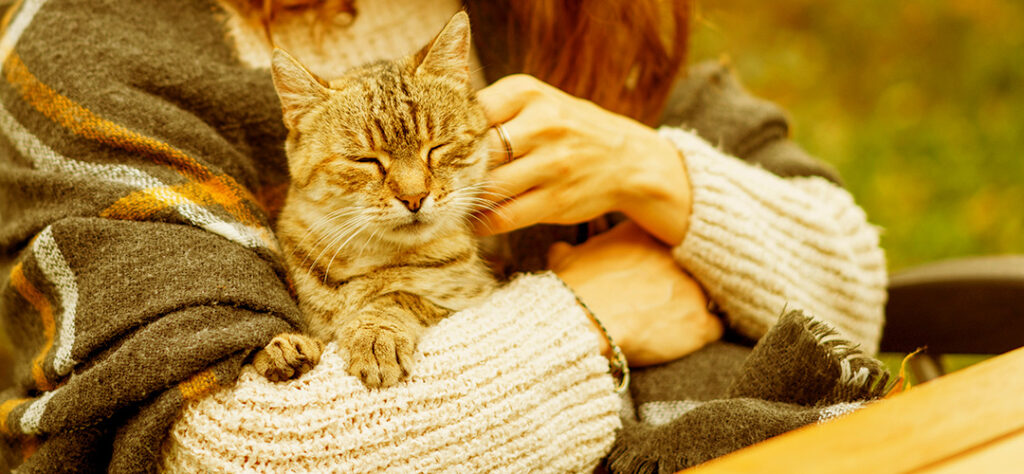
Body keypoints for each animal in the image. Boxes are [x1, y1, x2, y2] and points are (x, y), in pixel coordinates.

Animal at [253, 12, 497, 389]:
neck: (371, 259)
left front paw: (375, 332)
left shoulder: (475, 292)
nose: (414, 196)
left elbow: (399, 297)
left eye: (437, 148)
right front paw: (284, 349)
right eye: (365, 160)